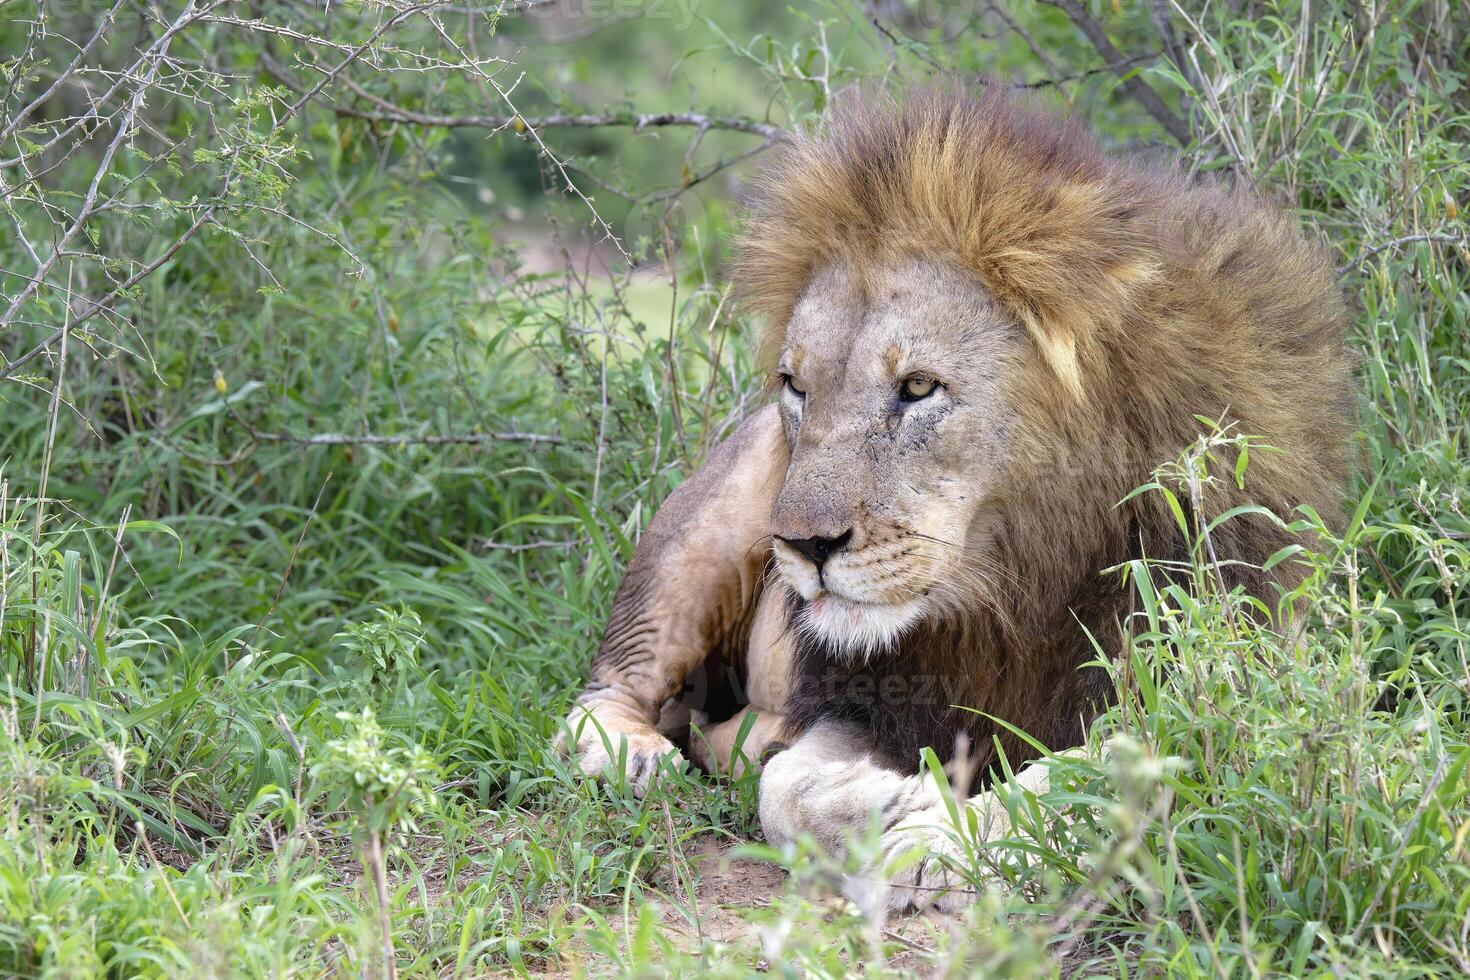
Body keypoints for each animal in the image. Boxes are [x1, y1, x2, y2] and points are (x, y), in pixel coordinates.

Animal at [555, 84, 1346, 910]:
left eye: (918, 388)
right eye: (796, 386)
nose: (804, 546)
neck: (1017, 581)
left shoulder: (1213, 693)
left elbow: (1080, 779)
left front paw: (940, 835)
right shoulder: (872, 696)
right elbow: (783, 789)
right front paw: (890, 804)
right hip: (703, 536)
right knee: (610, 682)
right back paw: (630, 754)